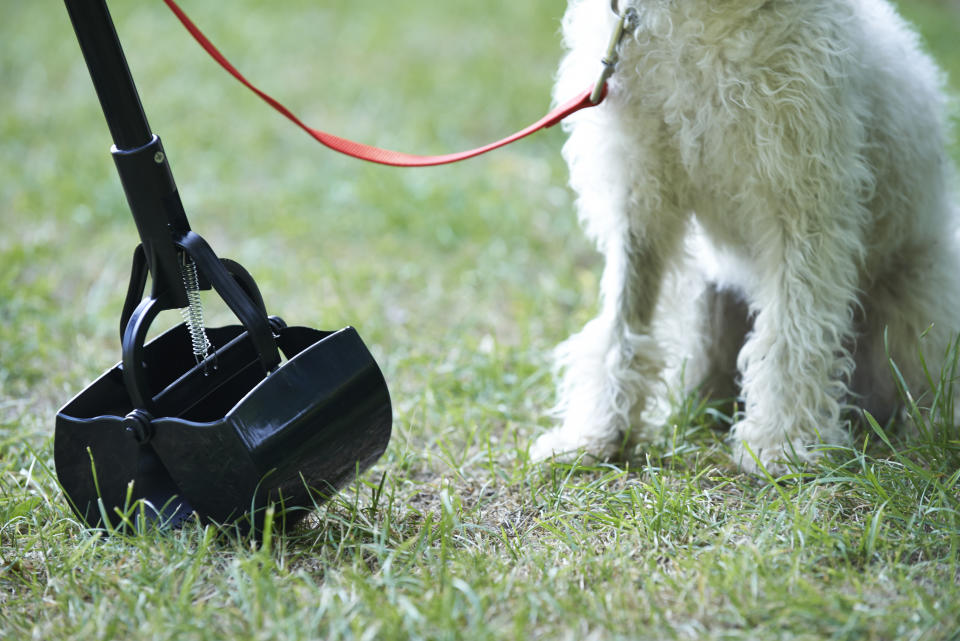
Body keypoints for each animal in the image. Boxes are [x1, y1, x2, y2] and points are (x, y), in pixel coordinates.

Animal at [532, 0, 960, 470]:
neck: (702, 19)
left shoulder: (802, 201)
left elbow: (792, 332)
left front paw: (782, 443)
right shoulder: (640, 197)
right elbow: (623, 324)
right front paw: (599, 431)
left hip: (919, 308)